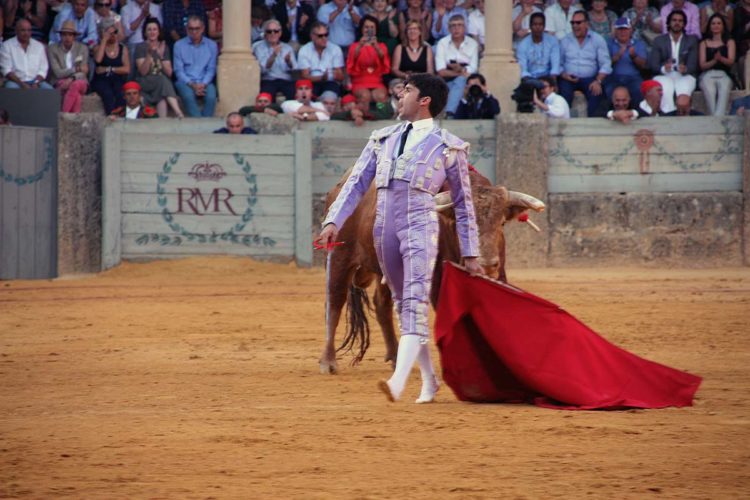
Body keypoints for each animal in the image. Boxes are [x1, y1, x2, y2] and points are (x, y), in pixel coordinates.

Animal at [318, 168, 548, 376]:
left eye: (501, 223)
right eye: (461, 224)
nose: (487, 264)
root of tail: (340, 185)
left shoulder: (499, 276)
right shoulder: (438, 280)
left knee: (382, 305)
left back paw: (395, 358)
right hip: (339, 256)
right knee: (334, 303)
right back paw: (328, 362)